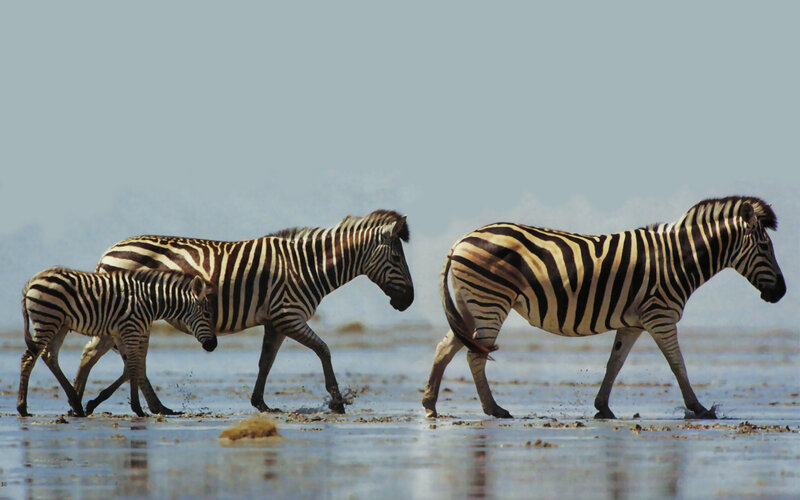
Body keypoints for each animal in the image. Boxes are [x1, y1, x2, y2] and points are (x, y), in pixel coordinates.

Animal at [18, 267, 217, 417]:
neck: (151, 302)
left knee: (49, 356)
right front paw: (138, 409)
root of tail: (31, 282)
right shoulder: (131, 331)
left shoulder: (122, 333)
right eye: (207, 315)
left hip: (59, 324)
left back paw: (76, 404)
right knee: (29, 358)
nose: (212, 345)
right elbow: (135, 366)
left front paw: (94, 403)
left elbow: (131, 367)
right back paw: (23, 407)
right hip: (48, 319)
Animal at [73, 209, 414, 415]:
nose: (409, 301)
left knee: (99, 353)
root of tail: (109, 251)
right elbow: (324, 350)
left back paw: (84, 402)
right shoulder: (288, 314)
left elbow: (265, 362)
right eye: (397, 258)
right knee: (123, 356)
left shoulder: (276, 321)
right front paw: (337, 401)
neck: (307, 267)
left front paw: (260, 403)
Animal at [422, 196, 785, 419]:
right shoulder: (660, 315)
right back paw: (493, 409)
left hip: (472, 303)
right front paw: (699, 408)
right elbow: (677, 364)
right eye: (765, 247)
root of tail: (461, 240)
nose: (781, 292)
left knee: (447, 347)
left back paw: (430, 404)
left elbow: (615, 363)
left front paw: (602, 407)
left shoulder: (634, 322)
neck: (677, 260)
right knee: (475, 355)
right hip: (491, 300)